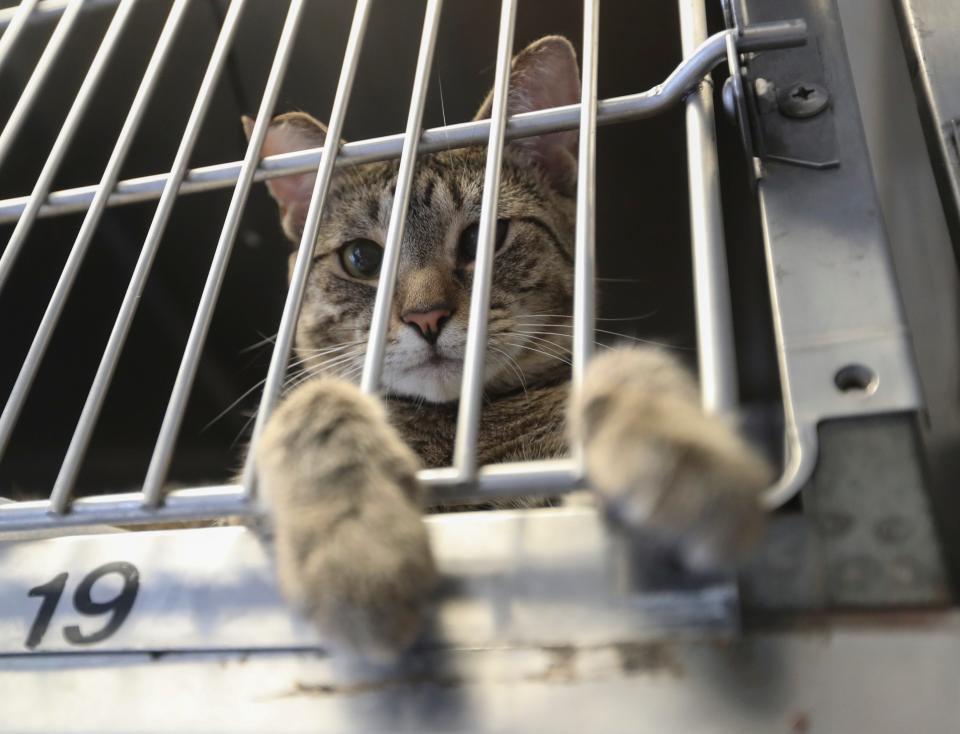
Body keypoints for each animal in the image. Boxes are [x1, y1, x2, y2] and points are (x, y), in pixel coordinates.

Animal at [249, 37, 772, 664]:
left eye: (482, 239)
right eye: (361, 259)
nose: (425, 316)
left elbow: (627, 370)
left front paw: (676, 449)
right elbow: (314, 407)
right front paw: (358, 551)